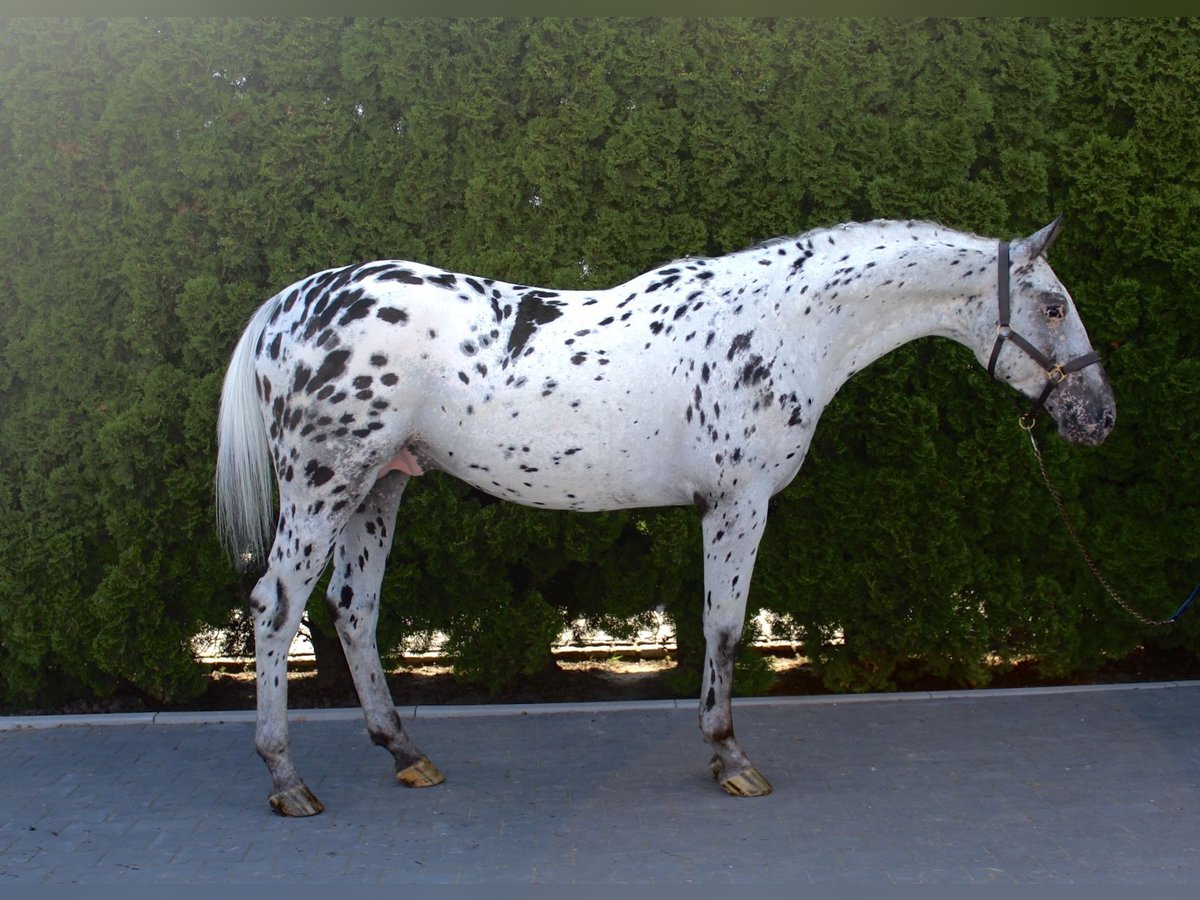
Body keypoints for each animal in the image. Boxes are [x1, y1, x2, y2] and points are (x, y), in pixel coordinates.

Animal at [213, 218, 1113, 816]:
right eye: (1054, 306)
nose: (1097, 416)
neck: (781, 328)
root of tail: (289, 306)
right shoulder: (739, 501)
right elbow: (724, 628)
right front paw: (731, 758)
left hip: (380, 487)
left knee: (352, 610)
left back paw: (406, 752)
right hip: (324, 487)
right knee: (276, 607)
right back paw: (287, 781)